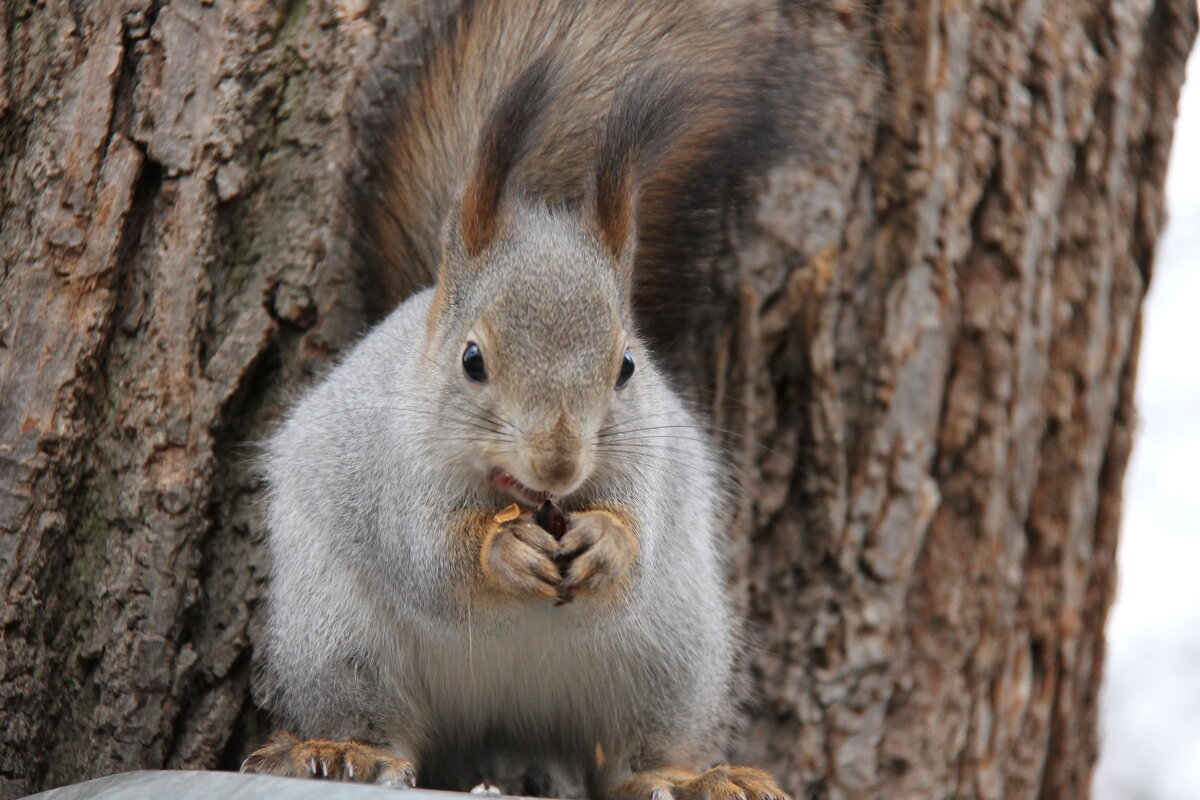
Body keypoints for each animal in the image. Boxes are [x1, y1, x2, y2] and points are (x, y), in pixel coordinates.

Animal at [241, 1, 796, 800]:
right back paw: (349, 754)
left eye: (628, 365)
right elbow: (431, 560)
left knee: (634, 753)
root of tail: (504, 715)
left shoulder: (652, 460)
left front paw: (608, 540)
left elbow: (639, 533)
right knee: (373, 715)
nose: (559, 463)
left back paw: (688, 776)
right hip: (337, 636)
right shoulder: (394, 475)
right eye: (472, 360)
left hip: (673, 654)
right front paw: (501, 550)